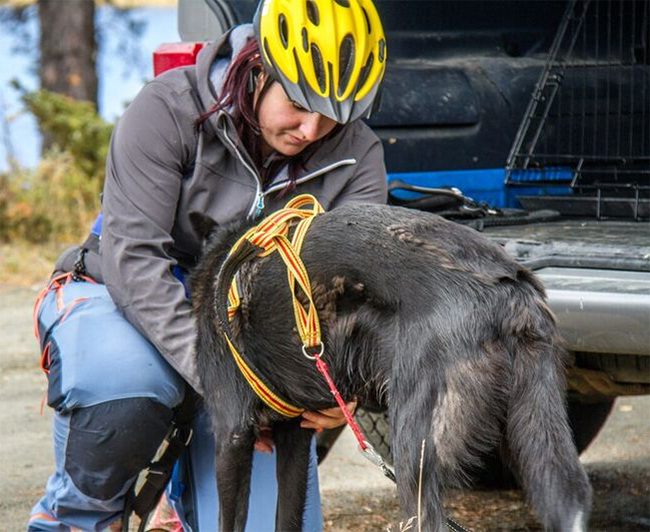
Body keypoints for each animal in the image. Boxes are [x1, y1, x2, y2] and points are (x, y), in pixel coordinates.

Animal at [189, 202, 592, 528]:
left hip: (414, 453)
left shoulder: (232, 435)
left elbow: (229, 522)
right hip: (536, 436)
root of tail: (507, 287)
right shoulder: (296, 438)